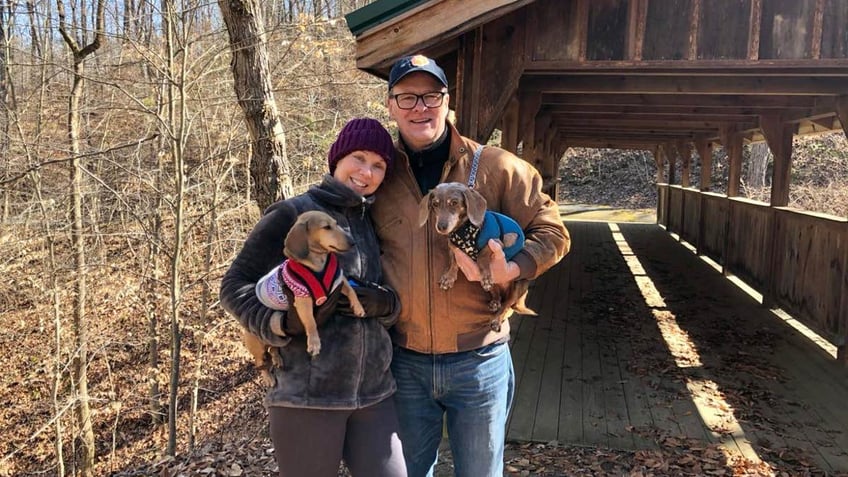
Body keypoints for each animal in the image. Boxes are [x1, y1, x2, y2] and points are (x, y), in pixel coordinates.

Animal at [243, 211, 366, 384]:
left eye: (336, 223)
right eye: (326, 227)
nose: (352, 242)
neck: (318, 266)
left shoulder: (339, 281)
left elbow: (351, 291)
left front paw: (358, 307)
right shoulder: (302, 301)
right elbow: (310, 322)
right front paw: (314, 343)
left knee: (274, 348)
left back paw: (277, 359)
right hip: (257, 346)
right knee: (260, 362)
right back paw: (268, 377)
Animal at [420, 180, 536, 330]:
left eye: (454, 202)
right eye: (435, 204)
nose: (441, 227)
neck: (463, 231)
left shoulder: (497, 242)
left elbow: (481, 256)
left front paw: (485, 276)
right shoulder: (452, 246)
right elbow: (453, 260)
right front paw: (448, 277)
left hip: (518, 285)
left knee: (506, 306)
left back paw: (496, 319)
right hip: (495, 289)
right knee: (497, 296)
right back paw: (495, 302)